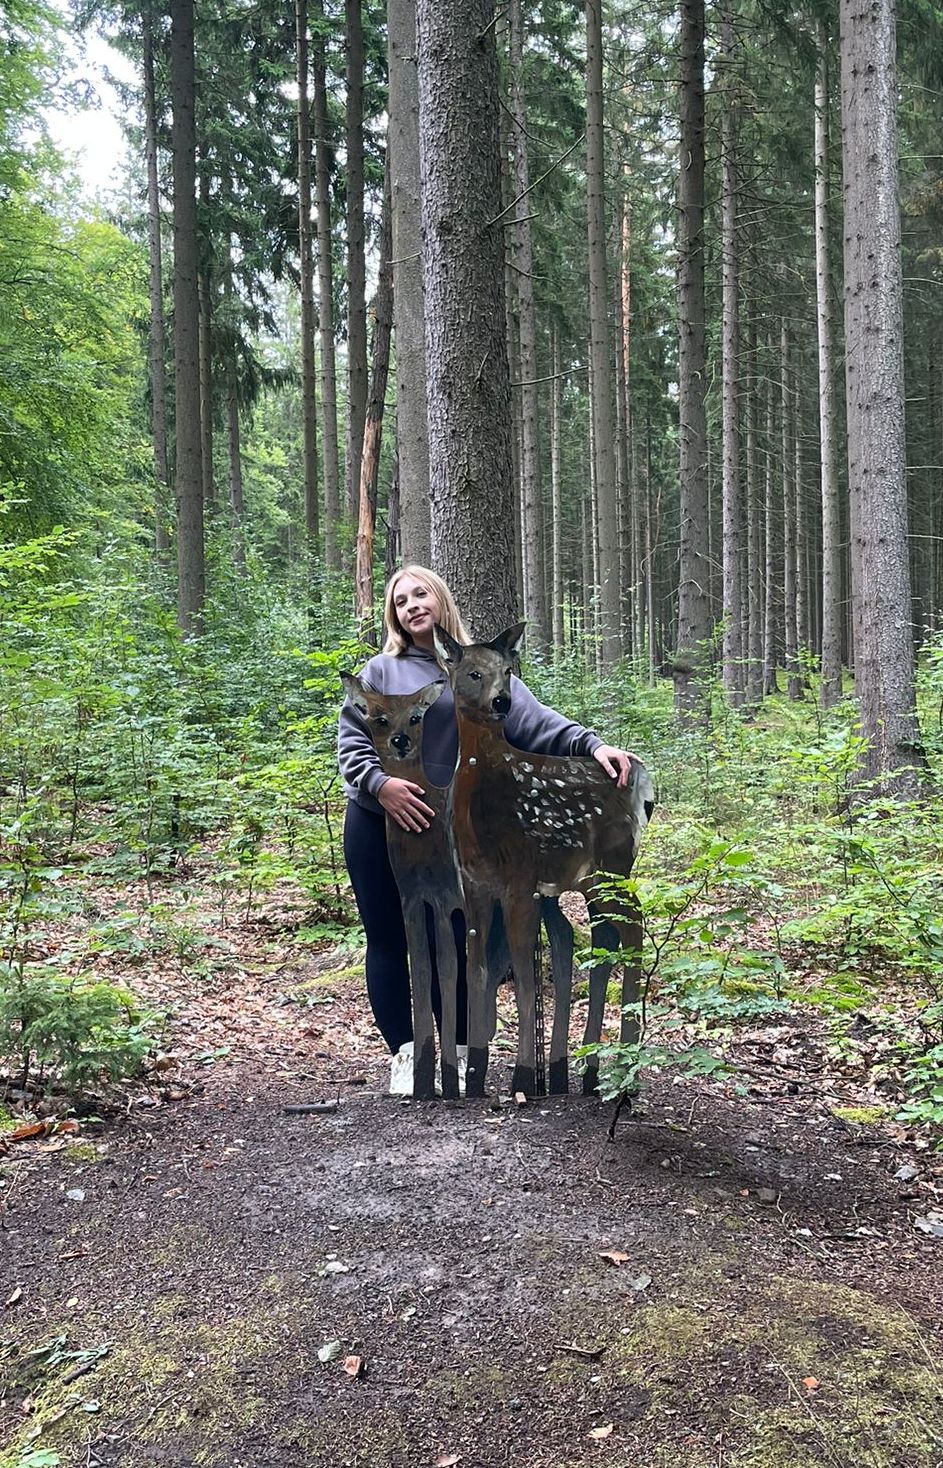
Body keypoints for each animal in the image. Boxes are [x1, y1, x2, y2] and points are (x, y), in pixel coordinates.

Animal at [340, 674, 463, 1100]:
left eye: (415, 716)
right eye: (377, 718)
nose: (400, 740)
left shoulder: (446, 895)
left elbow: (446, 967)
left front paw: (448, 1075)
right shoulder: (410, 895)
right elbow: (419, 969)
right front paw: (423, 1078)